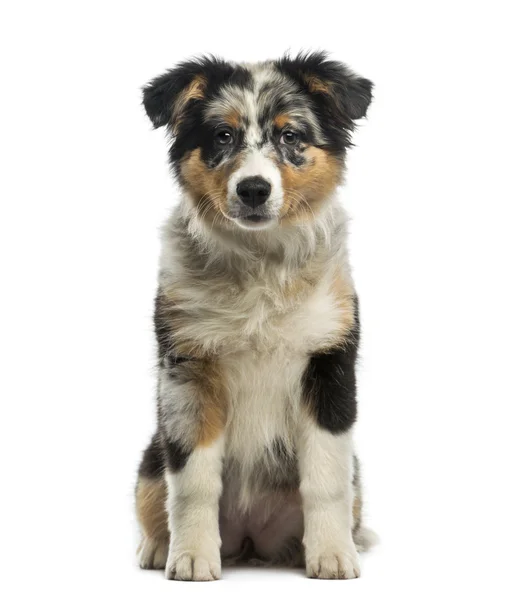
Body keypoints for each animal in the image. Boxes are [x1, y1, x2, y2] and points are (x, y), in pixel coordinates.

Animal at [135, 52, 374, 580]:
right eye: (223, 135)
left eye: (291, 136)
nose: (253, 190)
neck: (261, 262)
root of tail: (251, 538)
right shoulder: (188, 367)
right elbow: (193, 479)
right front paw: (191, 556)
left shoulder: (329, 363)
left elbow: (326, 477)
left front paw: (332, 555)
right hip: (149, 456)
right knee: (155, 492)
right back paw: (158, 547)